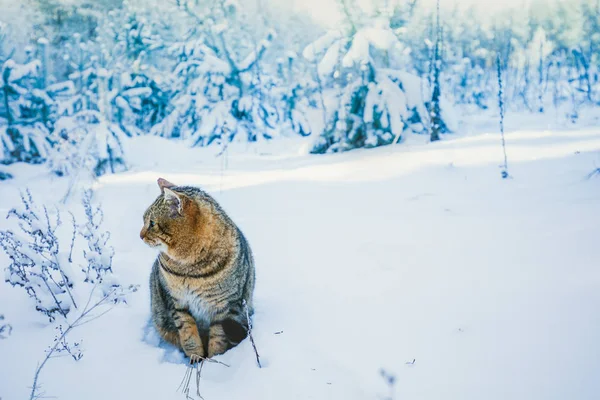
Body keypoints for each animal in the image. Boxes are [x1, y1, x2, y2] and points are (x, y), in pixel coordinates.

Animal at [139, 179, 254, 362]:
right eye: (144, 220)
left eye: (152, 223)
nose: (140, 235)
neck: (190, 269)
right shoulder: (177, 303)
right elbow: (189, 336)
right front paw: (196, 360)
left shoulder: (224, 308)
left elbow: (218, 339)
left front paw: (214, 362)